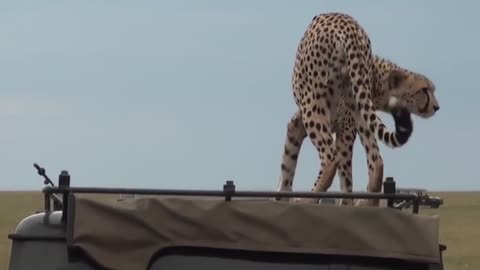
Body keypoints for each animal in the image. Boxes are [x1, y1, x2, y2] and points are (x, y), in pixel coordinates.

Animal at [278, 11, 438, 206]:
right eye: (424, 90)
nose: (436, 107)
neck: (377, 79)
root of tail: (349, 28)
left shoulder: (335, 126)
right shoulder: (307, 124)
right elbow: (288, 159)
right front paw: (281, 195)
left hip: (316, 110)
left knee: (331, 159)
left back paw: (307, 200)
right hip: (357, 112)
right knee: (376, 163)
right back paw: (366, 202)